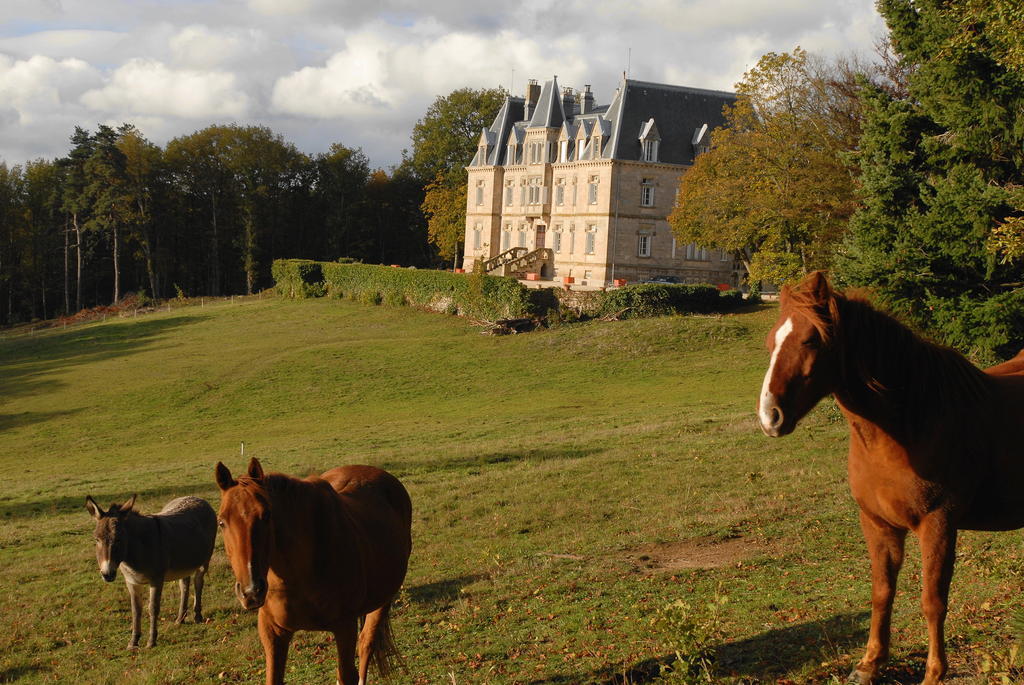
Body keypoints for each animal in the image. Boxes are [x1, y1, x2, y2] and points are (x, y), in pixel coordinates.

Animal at [215, 458, 411, 683]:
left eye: (266, 515)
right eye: (221, 522)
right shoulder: (272, 631)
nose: (251, 591)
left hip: (383, 600)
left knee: (366, 644)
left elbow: (347, 674)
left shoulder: (345, 627)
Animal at [757, 272, 1024, 683]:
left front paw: (934, 672)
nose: (769, 416)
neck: (911, 422)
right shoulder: (877, 523)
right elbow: (882, 592)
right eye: (771, 342)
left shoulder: (938, 524)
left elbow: (933, 600)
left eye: (811, 339)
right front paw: (869, 663)